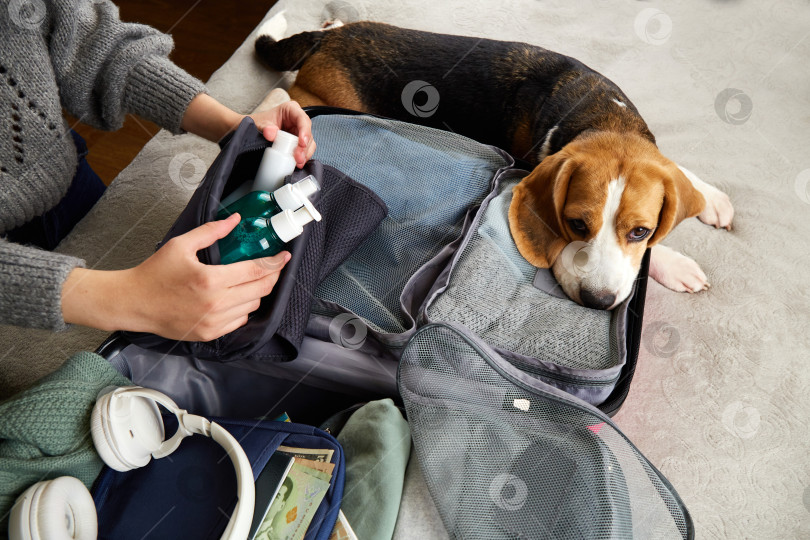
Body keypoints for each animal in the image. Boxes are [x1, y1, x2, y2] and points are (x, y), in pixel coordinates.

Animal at [254, 21, 732, 310]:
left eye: (639, 232)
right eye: (576, 224)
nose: (597, 300)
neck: (598, 113)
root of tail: (325, 40)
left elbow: (677, 175)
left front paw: (709, 198)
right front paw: (676, 263)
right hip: (320, 99)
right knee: (276, 98)